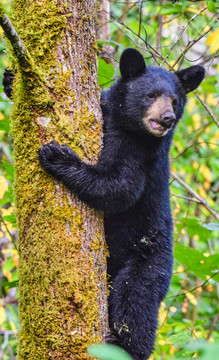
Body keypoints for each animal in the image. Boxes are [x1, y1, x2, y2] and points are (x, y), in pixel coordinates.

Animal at [3, 48, 205, 360]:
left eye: (175, 100)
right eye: (150, 95)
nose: (167, 118)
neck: (125, 123)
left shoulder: (140, 150)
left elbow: (119, 187)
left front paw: (58, 156)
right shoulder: (107, 110)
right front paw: (11, 79)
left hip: (150, 261)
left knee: (135, 302)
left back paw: (124, 346)